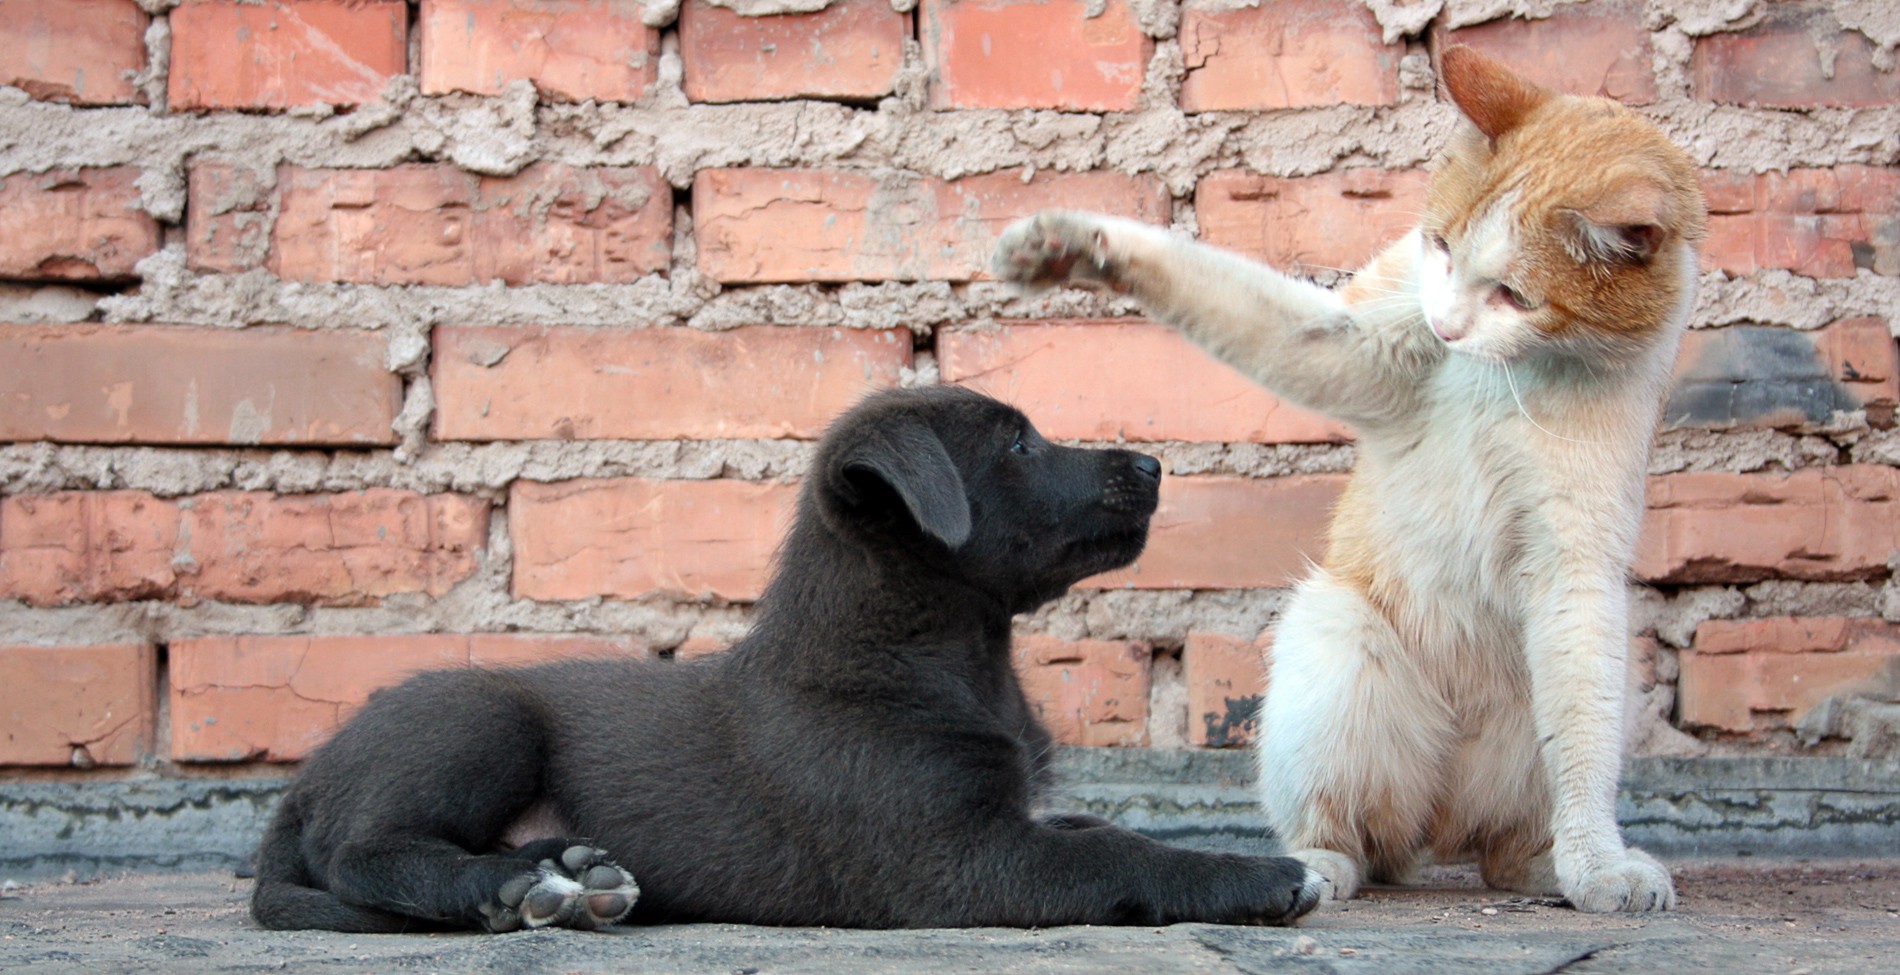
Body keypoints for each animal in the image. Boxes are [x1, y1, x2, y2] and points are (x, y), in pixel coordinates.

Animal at [252, 383, 1322, 931]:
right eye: (1017, 443)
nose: (1151, 464)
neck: (935, 657)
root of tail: (303, 786)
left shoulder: (1011, 815)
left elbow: (1094, 823)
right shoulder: (955, 863)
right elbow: (1113, 852)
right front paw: (1257, 877)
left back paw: (572, 871)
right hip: (476, 716)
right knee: (362, 854)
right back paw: (514, 886)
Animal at [995, 45, 1710, 912]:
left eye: (1514, 294)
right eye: (1440, 247)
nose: (1447, 326)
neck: (1510, 374)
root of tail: (1440, 826)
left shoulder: (1578, 570)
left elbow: (1583, 751)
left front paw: (1598, 864)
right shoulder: (1354, 346)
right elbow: (1222, 288)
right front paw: (1073, 246)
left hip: (1607, 658)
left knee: (1507, 841)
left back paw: (1545, 868)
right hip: (1335, 633)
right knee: (1354, 837)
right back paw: (1312, 871)